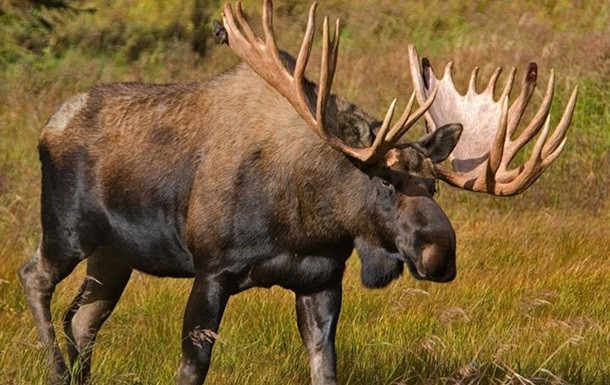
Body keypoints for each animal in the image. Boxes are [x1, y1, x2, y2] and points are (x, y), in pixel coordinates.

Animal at [20, 0, 576, 384]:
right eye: (384, 179)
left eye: (436, 184)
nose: (440, 253)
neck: (307, 219)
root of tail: (47, 127)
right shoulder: (212, 269)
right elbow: (192, 368)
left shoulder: (320, 281)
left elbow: (325, 368)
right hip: (67, 232)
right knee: (35, 277)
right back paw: (55, 370)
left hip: (114, 255)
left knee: (83, 319)